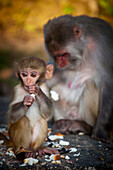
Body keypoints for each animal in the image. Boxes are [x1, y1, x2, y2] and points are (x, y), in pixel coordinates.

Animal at [43, 14, 113, 143]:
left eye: (63, 54)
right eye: (55, 56)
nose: (59, 63)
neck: (83, 49)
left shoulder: (103, 47)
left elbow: (108, 82)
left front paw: (100, 131)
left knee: (90, 83)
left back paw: (85, 126)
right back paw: (61, 123)